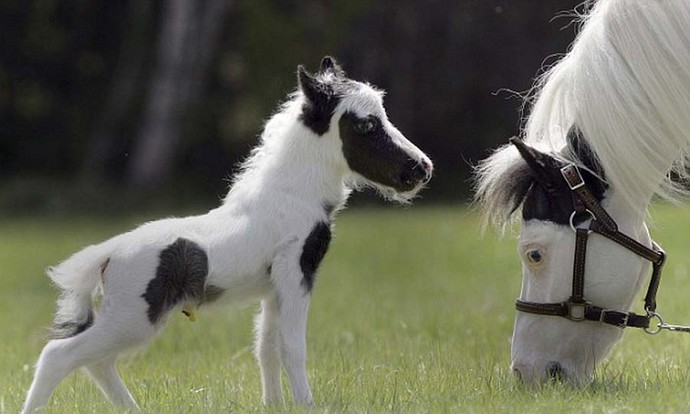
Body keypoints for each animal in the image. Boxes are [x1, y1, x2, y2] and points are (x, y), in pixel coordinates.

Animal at [21, 56, 433, 412]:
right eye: (365, 125)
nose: (422, 168)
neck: (290, 195)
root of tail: (107, 253)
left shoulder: (273, 288)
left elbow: (266, 348)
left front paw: (274, 405)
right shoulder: (296, 273)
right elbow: (292, 347)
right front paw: (306, 406)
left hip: (127, 318)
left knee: (97, 363)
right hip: (133, 316)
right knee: (59, 355)